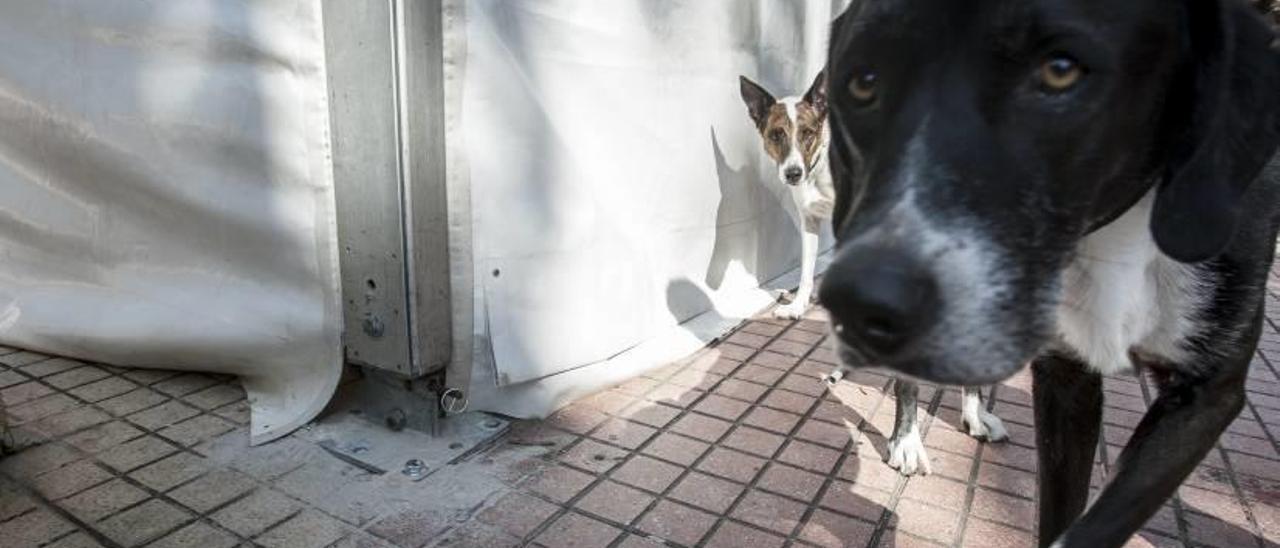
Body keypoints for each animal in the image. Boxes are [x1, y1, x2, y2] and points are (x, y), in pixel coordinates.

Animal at [737, 72, 834, 321]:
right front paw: (797, 306)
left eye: (808, 133)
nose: (793, 174)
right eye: (775, 135)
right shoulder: (809, 220)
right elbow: (806, 272)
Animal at [819, 2, 1280, 545]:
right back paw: (908, 437)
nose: (864, 300)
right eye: (863, 82)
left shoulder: (1207, 396)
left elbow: (1089, 525)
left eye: (1061, 70)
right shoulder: (1064, 377)